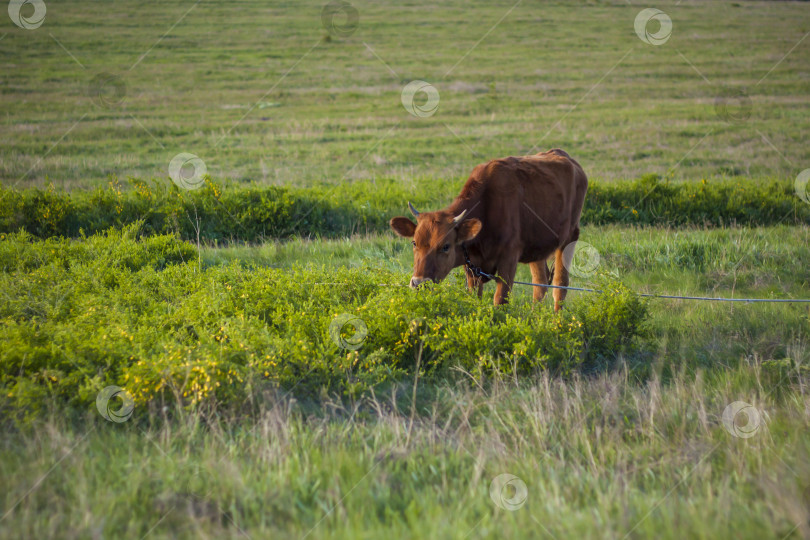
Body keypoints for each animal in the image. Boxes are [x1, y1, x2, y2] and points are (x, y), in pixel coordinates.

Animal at [388, 148, 584, 310]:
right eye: (414, 243)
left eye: (445, 246)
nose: (419, 283)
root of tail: (568, 159)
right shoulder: (472, 267)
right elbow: (475, 298)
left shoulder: (509, 259)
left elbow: (500, 300)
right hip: (537, 249)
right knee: (540, 284)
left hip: (570, 239)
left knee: (560, 286)